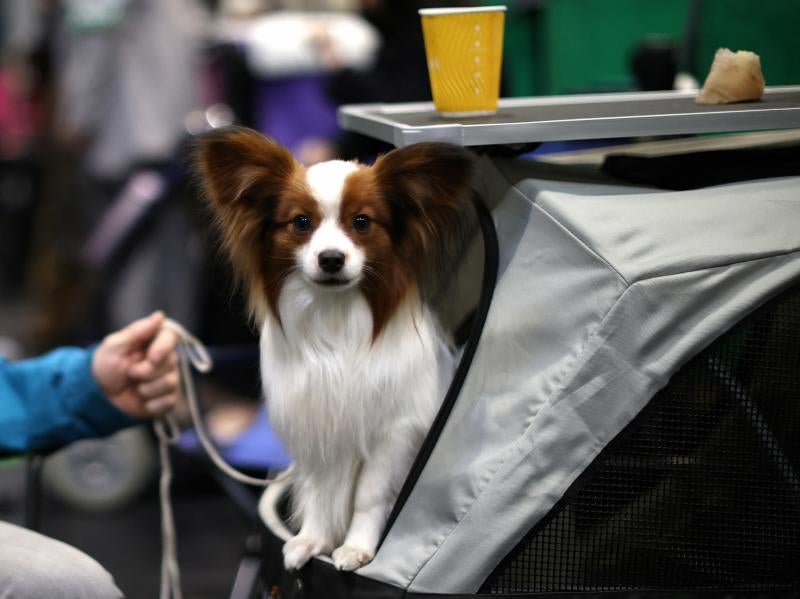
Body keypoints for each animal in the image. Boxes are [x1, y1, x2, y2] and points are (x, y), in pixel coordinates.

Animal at [195, 127, 476, 572]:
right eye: (301, 223)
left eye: (362, 222)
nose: (331, 259)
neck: (335, 320)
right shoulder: (321, 423)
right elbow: (324, 493)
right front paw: (314, 540)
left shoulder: (394, 433)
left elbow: (369, 497)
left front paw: (357, 548)